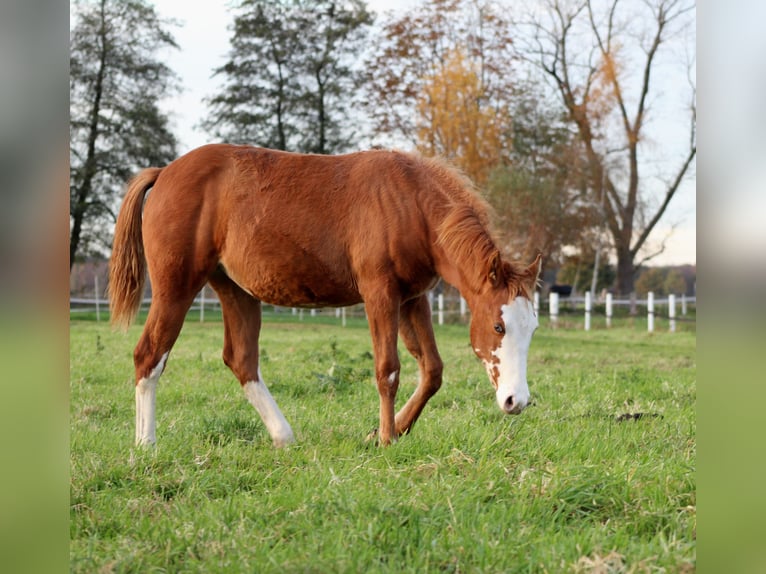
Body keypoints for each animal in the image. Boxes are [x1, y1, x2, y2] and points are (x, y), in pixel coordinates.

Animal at [109, 144, 542, 447]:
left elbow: (432, 370)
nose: (515, 401)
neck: (409, 202)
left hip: (235, 289)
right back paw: (146, 445)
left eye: (532, 328)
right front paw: (386, 438)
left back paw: (284, 437)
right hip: (176, 288)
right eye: (498, 326)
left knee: (241, 360)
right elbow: (388, 369)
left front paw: (387, 431)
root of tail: (164, 172)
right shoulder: (380, 294)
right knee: (149, 355)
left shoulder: (412, 298)